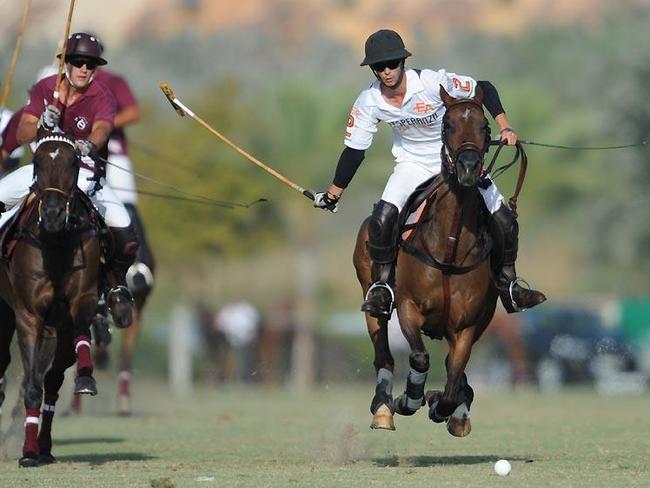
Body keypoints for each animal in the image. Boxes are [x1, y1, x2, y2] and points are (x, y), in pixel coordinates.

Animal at [0, 132, 101, 468]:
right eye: (37, 162)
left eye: (73, 163)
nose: (55, 215)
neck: (55, 242)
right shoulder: (28, 316)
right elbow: (31, 386)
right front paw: (27, 453)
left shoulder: (80, 302)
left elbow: (80, 333)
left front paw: (86, 378)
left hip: (55, 334)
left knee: (54, 383)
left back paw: (44, 446)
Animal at [352, 86, 498, 436]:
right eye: (448, 126)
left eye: (485, 127)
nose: (469, 168)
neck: (450, 246)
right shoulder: (409, 308)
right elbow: (419, 358)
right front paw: (409, 399)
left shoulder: (467, 325)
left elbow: (453, 376)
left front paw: (445, 407)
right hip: (371, 295)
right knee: (383, 354)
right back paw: (383, 408)